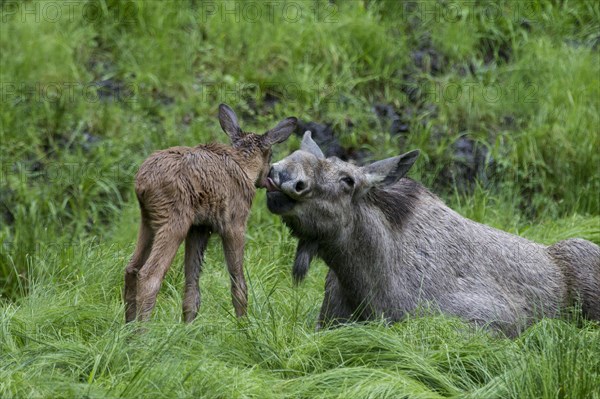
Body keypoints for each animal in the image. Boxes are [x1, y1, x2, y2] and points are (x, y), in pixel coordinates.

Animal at [125, 104, 298, 324]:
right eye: (272, 154)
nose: (270, 177)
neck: (245, 168)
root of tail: (141, 183)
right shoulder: (234, 223)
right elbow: (238, 282)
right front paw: (244, 325)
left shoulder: (199, 228)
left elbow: (192, 287)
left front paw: (188, 327)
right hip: (174, 221)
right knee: (150, 275)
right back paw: (142, 332)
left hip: (147, 220)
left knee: (131, 268)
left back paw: (128, 328)